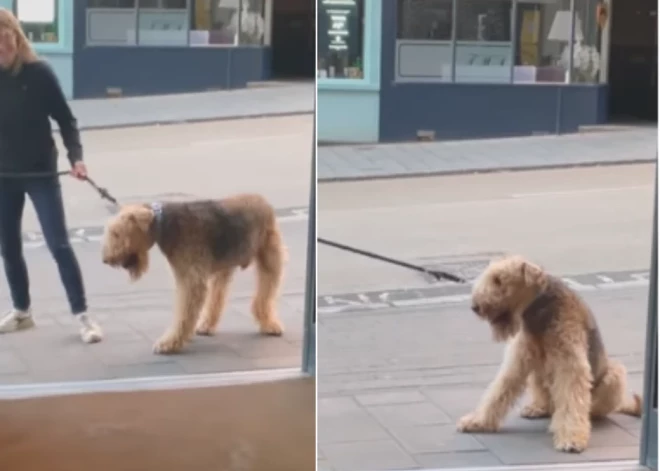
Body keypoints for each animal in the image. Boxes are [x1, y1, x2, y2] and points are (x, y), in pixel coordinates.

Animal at [456, 256, 640, 456]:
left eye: (498, 280)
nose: (475, 307)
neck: (539, 311)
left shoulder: (570, 365)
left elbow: (572, 401)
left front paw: (571, 439)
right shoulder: (518, 360)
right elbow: (499, 390)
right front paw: (477, 422)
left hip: (614, 373)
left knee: (587, 407)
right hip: (536, 374)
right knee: (548, 403)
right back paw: (537, 408)